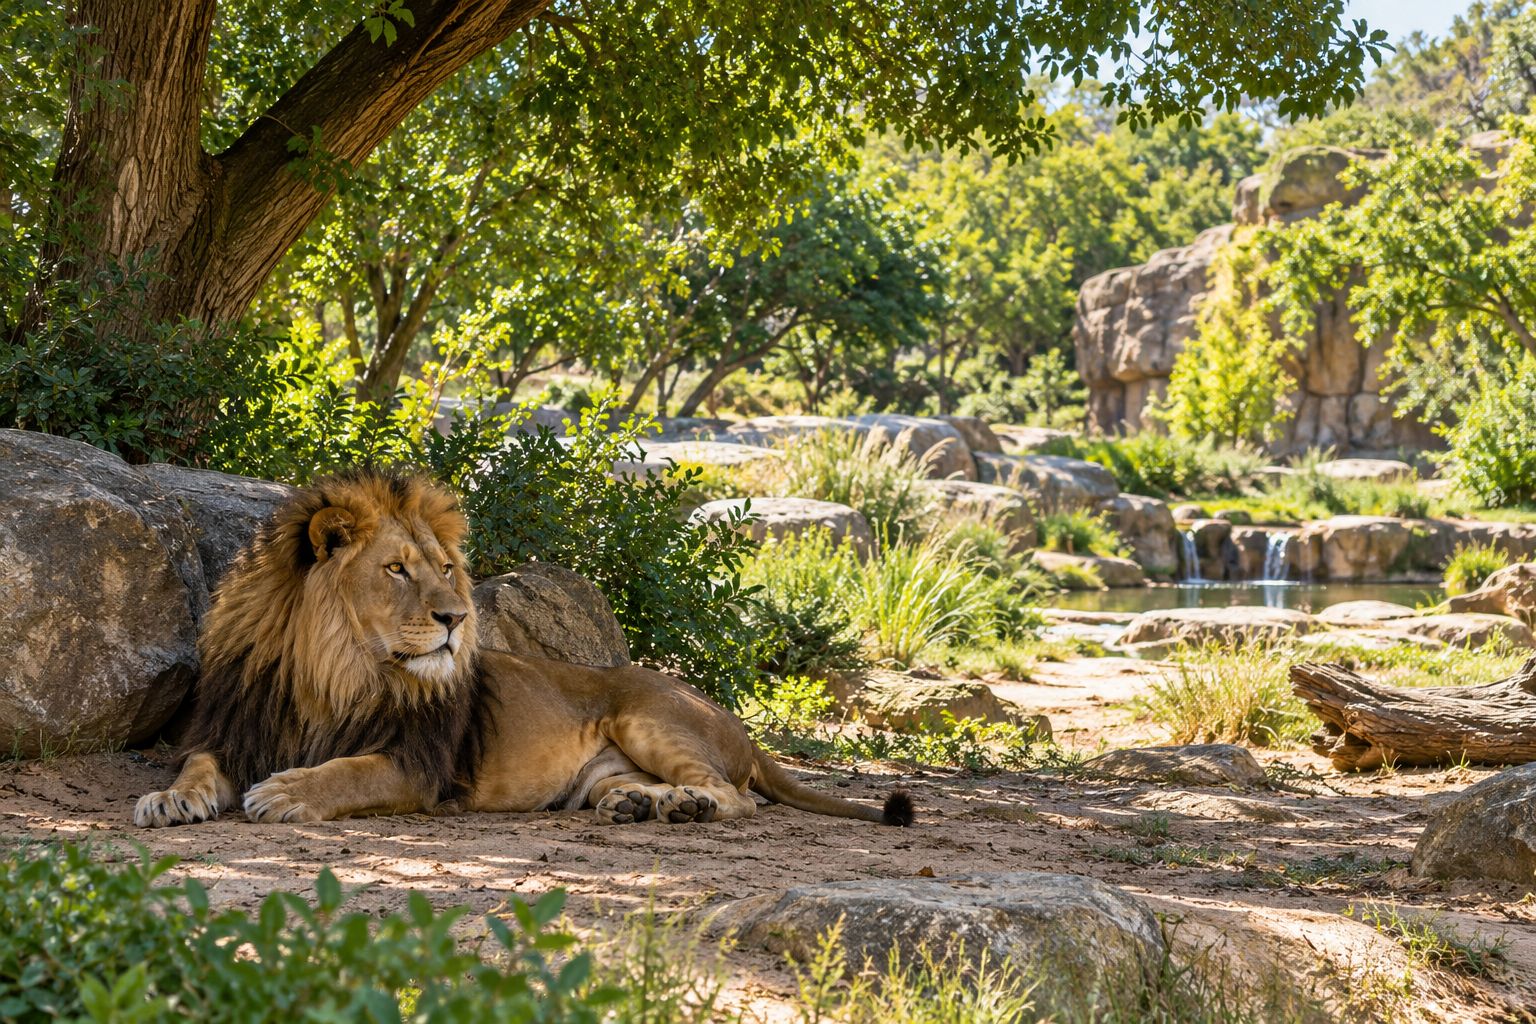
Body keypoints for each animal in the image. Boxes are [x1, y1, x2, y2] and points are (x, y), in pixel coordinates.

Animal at [134, 469, 913, 829]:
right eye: (397, 570)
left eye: (445, 568)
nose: (455, 617)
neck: (334, 670)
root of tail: (743, 730)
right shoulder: (235, 729)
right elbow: (197, 767)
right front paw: (168, 800)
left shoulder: (418, 766)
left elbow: (345, 773)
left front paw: (287, 790)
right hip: (603, 769)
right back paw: (639, 804)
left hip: (648, 714)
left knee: (736, 796)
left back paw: (684, 804)